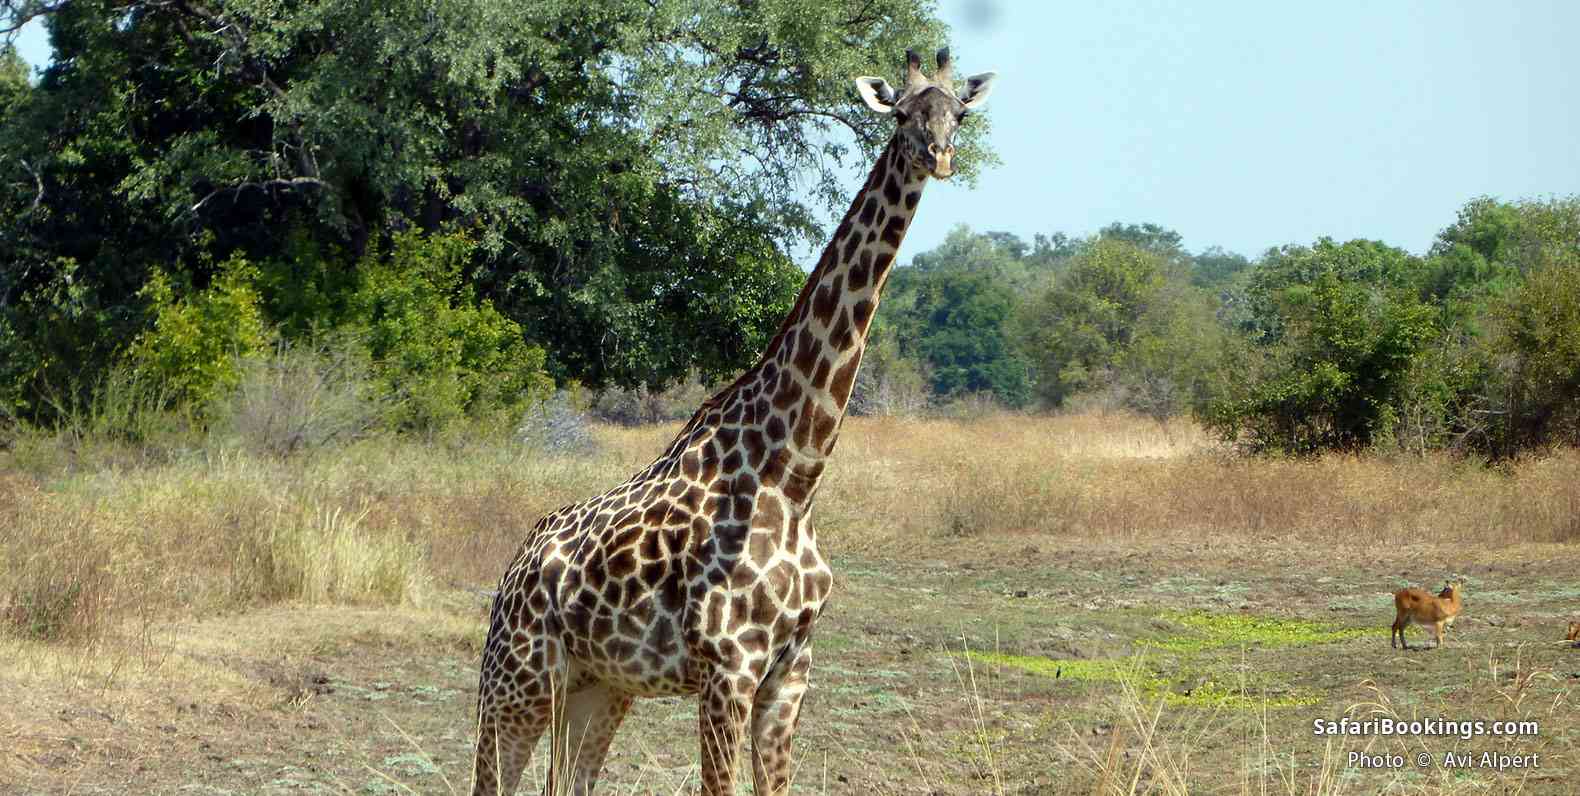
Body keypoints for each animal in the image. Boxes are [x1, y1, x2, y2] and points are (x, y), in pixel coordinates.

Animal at [472, 47, 997, 796]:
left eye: (958, 112)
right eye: (899, 114)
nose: (940, 155)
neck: (796, 473)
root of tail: (513, 568)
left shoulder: (789, 672)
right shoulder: (728, 671)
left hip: (599, 686)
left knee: (566, 781)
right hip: (515, 680)